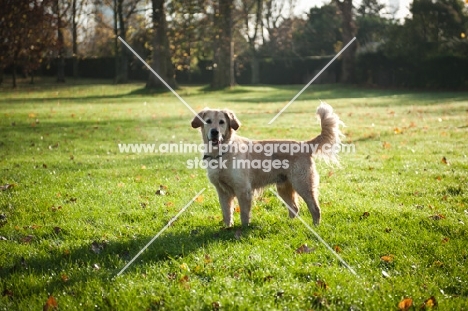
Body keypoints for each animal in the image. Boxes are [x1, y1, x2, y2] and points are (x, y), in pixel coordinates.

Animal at [190, 103, 344, 228]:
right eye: (208, 121)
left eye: (222, 122)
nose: (215, 132)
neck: (221, 153)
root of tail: (304, 144)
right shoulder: (222, 191)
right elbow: (227, 213)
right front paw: (228, 228)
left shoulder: (243, 190)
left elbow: (244, 214)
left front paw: (243, 230)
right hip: (283, 188)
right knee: (294, 208)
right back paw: (289, 224)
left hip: (303, 185)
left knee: (315, 208)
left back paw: (316, 226)